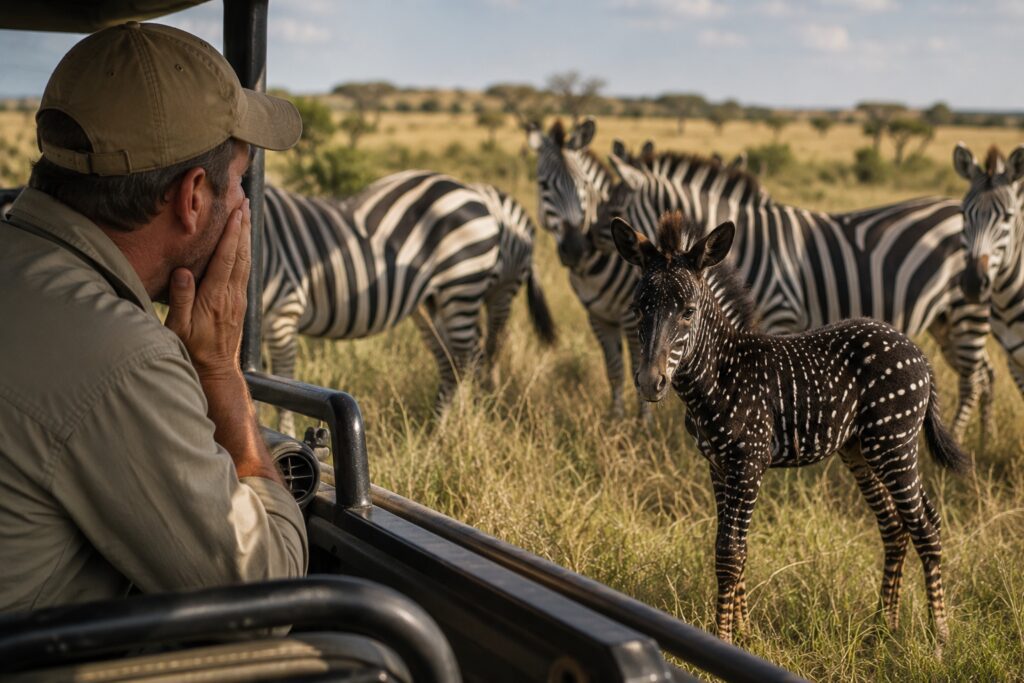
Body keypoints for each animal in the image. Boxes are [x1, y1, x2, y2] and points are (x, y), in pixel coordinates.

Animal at [261, 171, 555, 434]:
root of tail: (471, 192)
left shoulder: (284, 313)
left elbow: (282, 392)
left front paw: (285, 438)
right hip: (432, 302)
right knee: (451, 362)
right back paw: (438, 430)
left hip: (467, 287)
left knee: (472, 357)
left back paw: (467, 424)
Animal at [531, 118, 995, 442]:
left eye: (611, 202)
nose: (579, 245)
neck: (751, 242)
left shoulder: (781, 315)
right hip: (947, 321)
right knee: (986, 374)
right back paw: (983, 441)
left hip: (967, 310)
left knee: (974, 379)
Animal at [612, 211, 970, 647]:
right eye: (638, 307)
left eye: (688, 311)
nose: (650, 382)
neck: (720, 374)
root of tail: (915, 351)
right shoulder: (718, 465)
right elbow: (736, 547)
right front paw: (744, 630)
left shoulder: (748, 462)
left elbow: (729, 553)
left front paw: (723, 637)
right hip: (860, 450)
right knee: (894, 526)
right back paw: (882, 627)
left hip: (895, 446)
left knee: (925, 526)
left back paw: (939, 638)